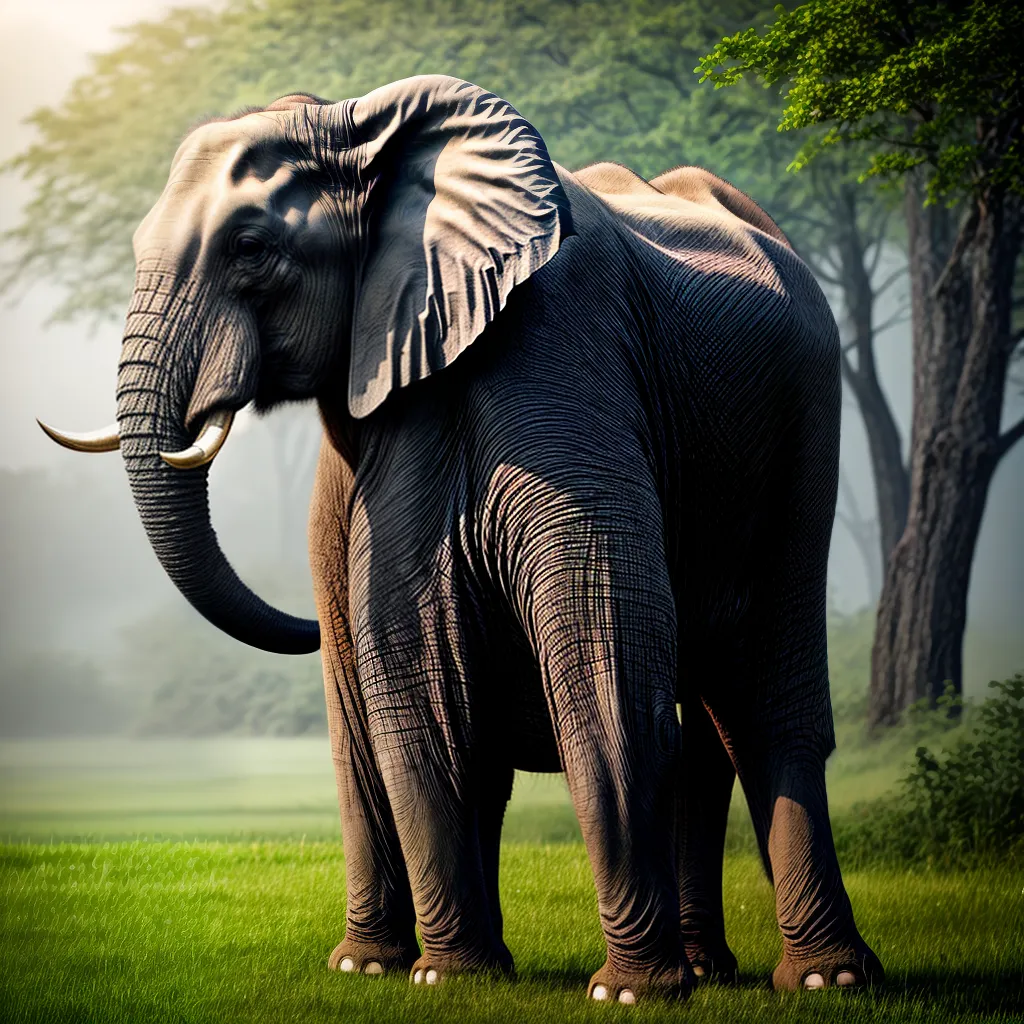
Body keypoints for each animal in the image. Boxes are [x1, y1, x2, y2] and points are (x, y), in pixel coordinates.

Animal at [41, 75, 882, 1002]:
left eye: (251, 247)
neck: (362, 130)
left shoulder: (566, 351)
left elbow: (602, 645)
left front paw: (628, 993)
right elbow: (418, 664)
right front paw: (455, 979)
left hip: (806, 424)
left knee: (769, 698)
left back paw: (824, 980)